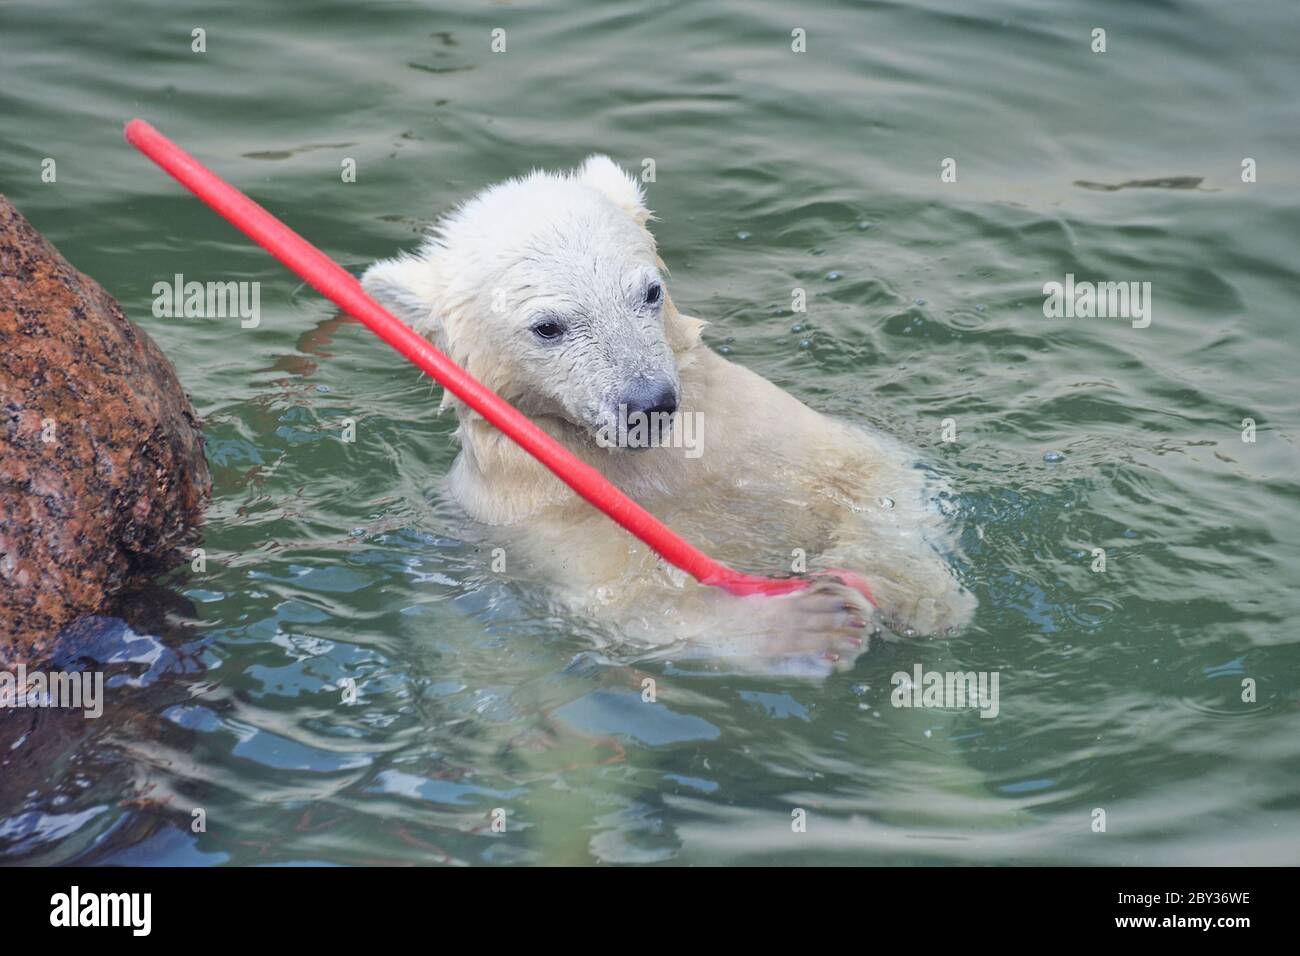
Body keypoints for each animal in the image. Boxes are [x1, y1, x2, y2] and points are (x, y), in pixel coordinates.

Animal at [362, 155, 976, 675]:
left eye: (649, 292)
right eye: (548, 326)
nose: (649, 405)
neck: (646, 462)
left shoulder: (740, 423)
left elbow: (866, 470)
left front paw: (911, 589)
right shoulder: (527, 514)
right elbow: (626, 600)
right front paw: (809, 623)